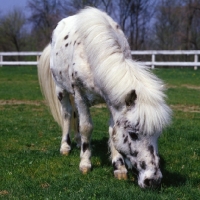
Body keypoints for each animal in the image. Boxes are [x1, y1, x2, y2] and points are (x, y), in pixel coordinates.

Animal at [38, 7, 172, 188]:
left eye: (158, 134)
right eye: (133, 134)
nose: (153, 180)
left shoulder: (112, 101)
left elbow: (111, 131)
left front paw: (119, 167)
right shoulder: (79, 93)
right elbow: (86, 127)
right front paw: (85, 163)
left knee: (76, 116)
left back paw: (79, 142)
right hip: (62, 90)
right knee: (67, 114)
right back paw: (66, 147)